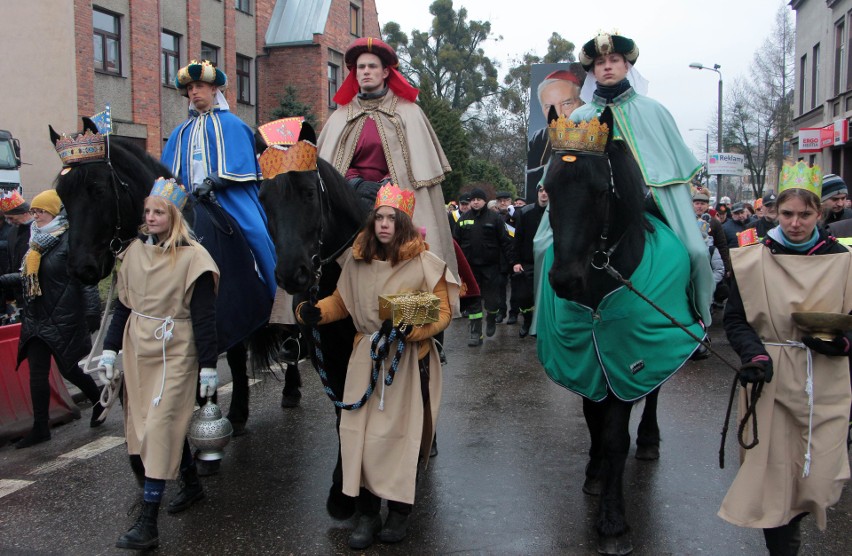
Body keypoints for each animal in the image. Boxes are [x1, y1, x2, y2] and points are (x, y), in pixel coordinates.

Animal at [258, 124, 368, 520]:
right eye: (263, 198)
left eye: (308, 192)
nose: (293, 274)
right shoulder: (330, 357)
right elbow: (341, 414)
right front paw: (342, 491)